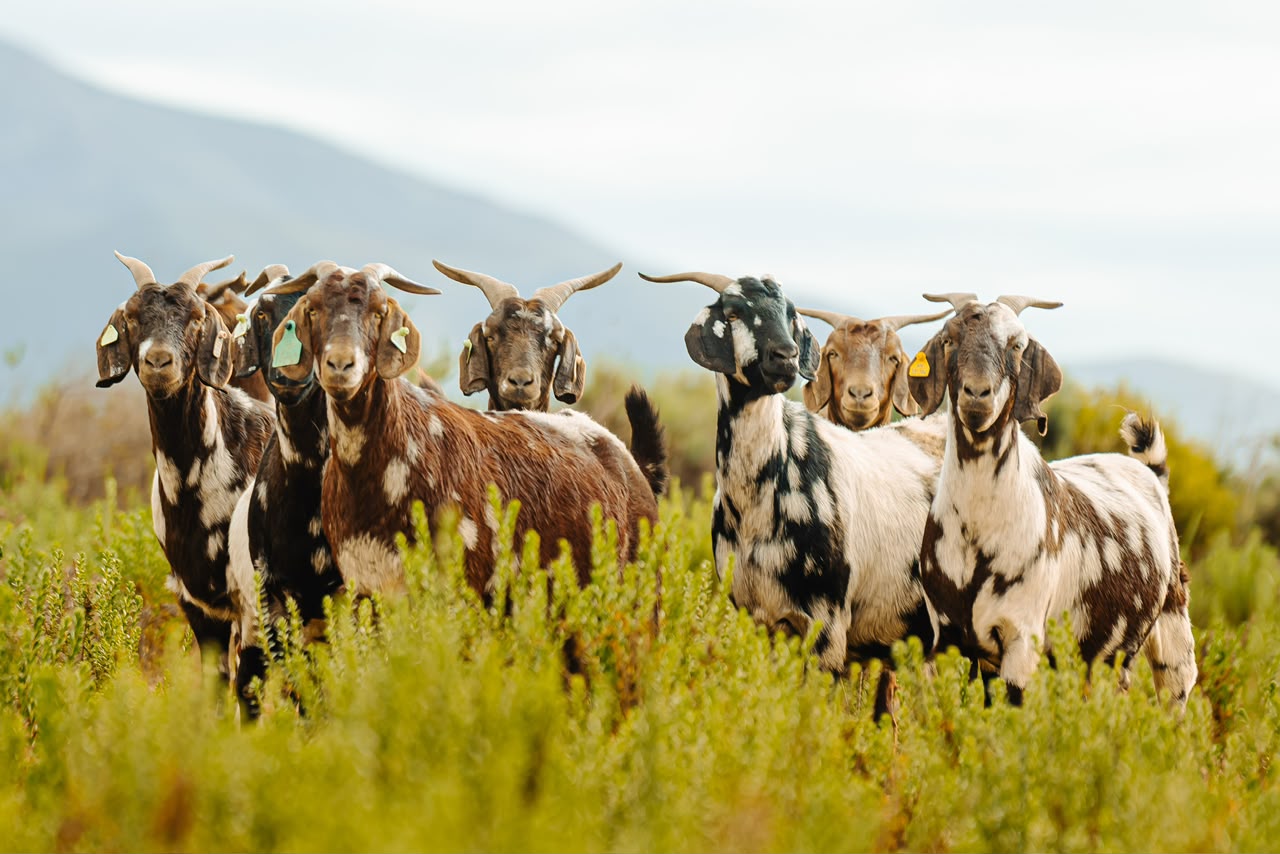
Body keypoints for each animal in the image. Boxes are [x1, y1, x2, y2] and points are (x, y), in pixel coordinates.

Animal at [95, 252, 274, 709]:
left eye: (196, 318)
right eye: (132, 317)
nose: (159, 362)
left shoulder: (252, 600)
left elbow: (248, 692)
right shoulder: (194, 600)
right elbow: (216, 688)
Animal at [908, 293, 1197, 707]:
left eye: (1017, 344)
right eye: (948, 339)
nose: (977, 395)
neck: (978, 530)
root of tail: (1152, 474)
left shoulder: (1021, 640)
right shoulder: (945, 637)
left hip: (1173, 632)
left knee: (1175, 693)